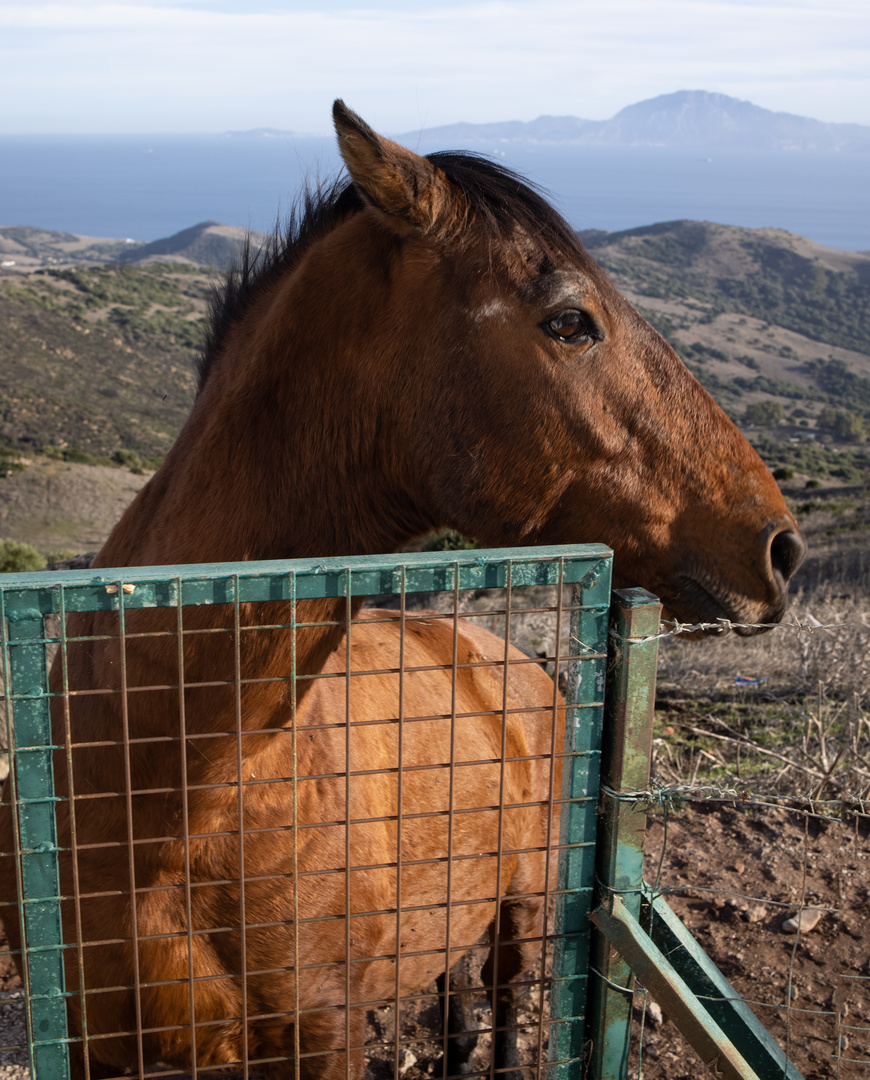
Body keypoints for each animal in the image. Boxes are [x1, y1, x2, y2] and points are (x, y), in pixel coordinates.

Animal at [0, 103, 803, 1080]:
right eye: (572, 321)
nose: (782, 548)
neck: (159, 796)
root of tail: (507, 660)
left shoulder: (326, 1040)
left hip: (522, 914)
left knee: (500, 1005)